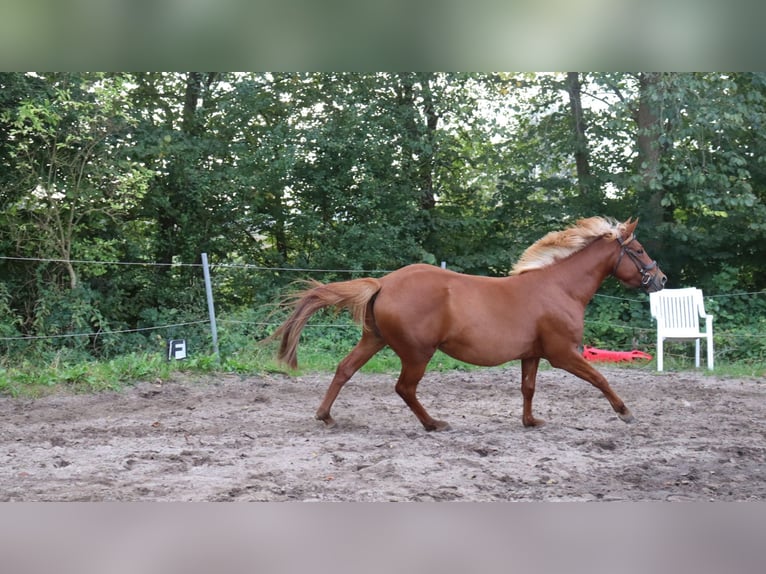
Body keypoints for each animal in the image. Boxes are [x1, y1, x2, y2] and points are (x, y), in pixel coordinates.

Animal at [276, 219, 664, 432]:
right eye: (639, 250)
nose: (660, 279)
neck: (559, 288)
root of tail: (384, 282)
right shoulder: (563, 354)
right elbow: (600, 378)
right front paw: (626, 413)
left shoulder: (532, 354)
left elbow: (528, 389)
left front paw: (531, 422)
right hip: (417, 353)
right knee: (405, 388)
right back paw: (434, 424)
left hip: (375, 340)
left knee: (344, 370)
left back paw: (325, 417)